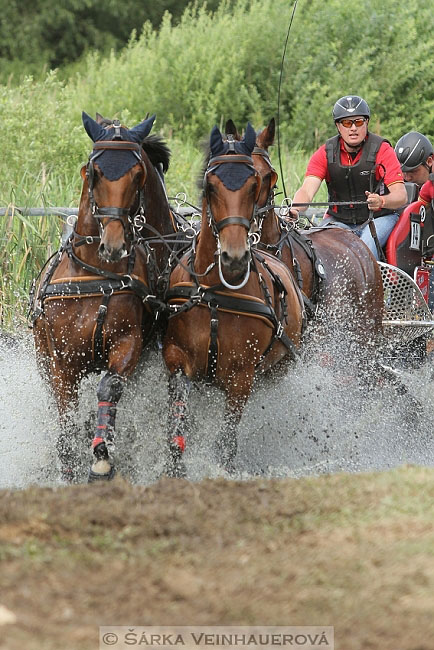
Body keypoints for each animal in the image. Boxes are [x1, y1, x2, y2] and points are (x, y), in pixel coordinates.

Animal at [30, 110, 177, 480]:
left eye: (138, 174)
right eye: (93, 171)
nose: (112, 243)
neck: (96, 274)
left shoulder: (128, 343)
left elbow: (110, 386)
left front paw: (101, 456)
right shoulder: (61, 360)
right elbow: (66, 412)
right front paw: (69, 457)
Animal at [161, 123, 304, 476]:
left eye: (256, 184)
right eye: (210, 186)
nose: (235, 258)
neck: (214, 293)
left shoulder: (242, 378)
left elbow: (226, 443)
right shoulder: (176, 357)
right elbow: (177, 428)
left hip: (277, 370)